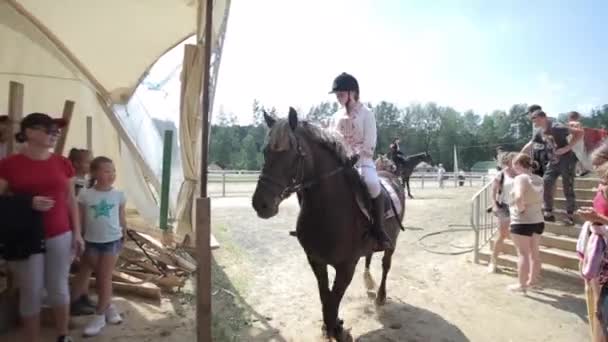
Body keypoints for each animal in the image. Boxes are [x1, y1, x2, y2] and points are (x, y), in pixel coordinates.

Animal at [249, 108, 406, 340]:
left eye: (292, 153)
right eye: (266, 151)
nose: (261, 203)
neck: (328, 211)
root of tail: (391, 176)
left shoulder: (346, 266)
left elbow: (334, 299)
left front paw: (337, 330)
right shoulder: (316, 261)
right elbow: (325, 297)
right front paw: (331, 327)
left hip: (392, 242)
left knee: (386, 265)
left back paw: (380, 296)